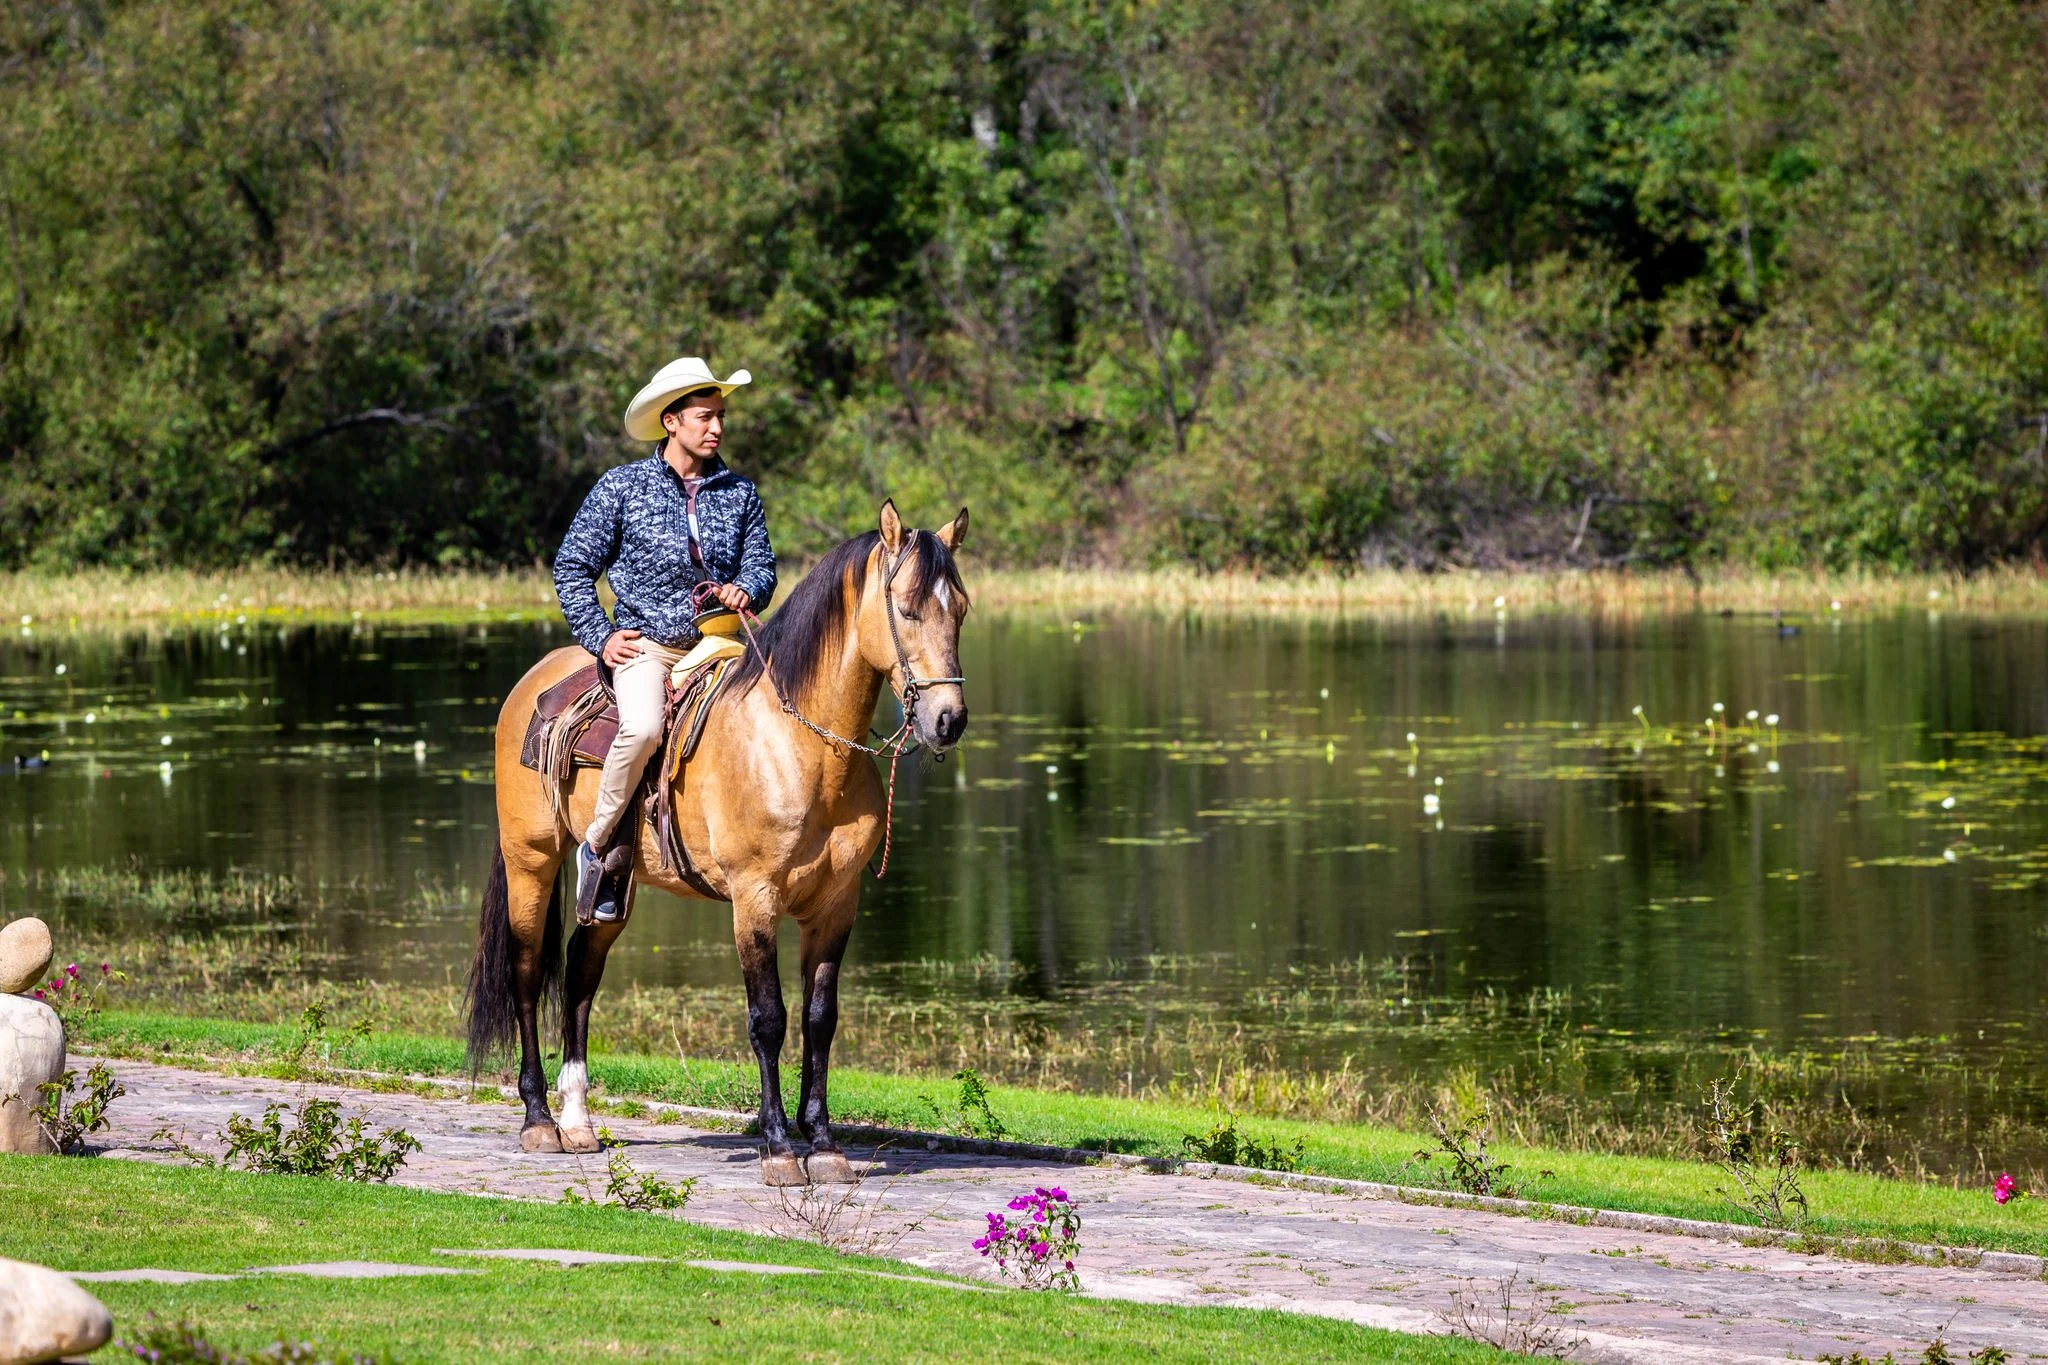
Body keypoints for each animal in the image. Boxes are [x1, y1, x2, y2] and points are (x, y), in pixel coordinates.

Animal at [466, 499, 974, 1186]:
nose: (948, 720)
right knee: (525, 972)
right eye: (909, 607)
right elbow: (769, 1020)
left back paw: (577, 1121)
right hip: (532, 862)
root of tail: (532, 685)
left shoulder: (836, 906)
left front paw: (824, 1144)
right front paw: (780, 1149)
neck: (804, 747)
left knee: (579, 972)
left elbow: (819, 1020)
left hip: (615, 883)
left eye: (961, 607)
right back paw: (540, 1121)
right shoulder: (753, 900)